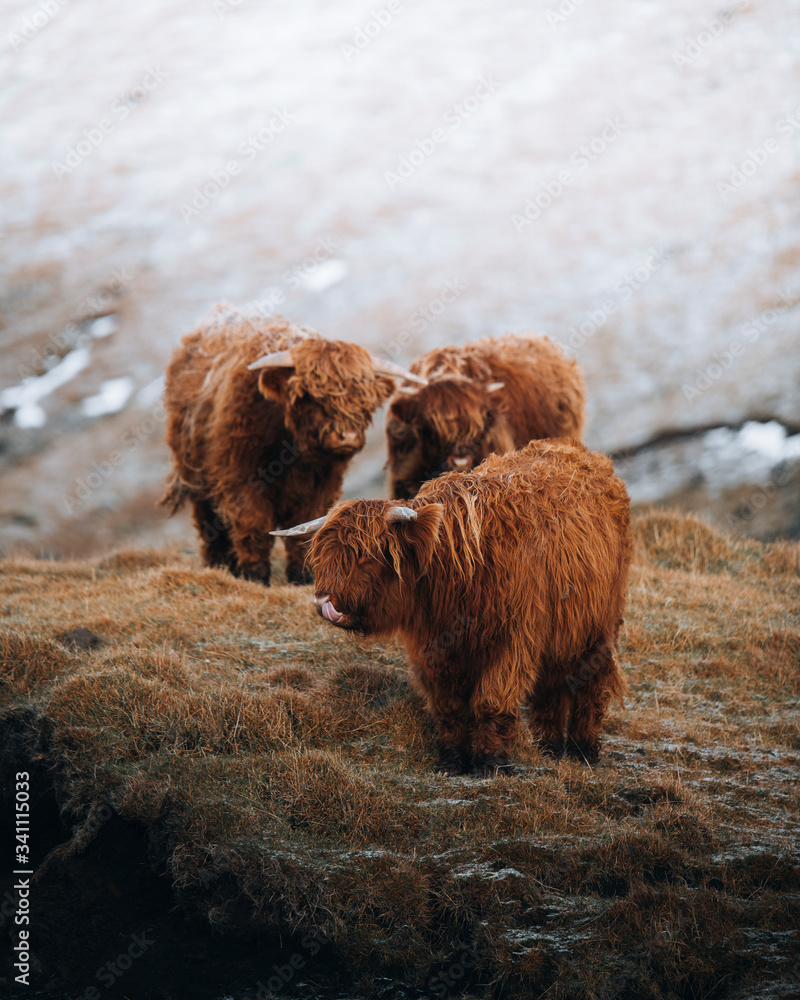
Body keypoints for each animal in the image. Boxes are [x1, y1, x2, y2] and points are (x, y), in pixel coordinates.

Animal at [162, 304, 424, 584]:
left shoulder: (322, 484)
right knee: (209, 523)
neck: (291, 451)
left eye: (364, 397)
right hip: (195, 476)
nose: (348, 436)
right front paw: (255, 575)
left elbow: (307, 524)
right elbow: (254, 524)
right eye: (309, 396)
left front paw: (303, 575)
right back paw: (217, 565)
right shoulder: (238, 477)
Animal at [276, 438, 632, 772]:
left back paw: (583, 752)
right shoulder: (433, 648)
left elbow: (492, 701)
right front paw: (451, 761)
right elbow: (449, 707)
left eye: (366, 555)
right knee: (552, 688)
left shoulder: (512, 641)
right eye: (323, 554)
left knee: (592, 683)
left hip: (599, 626)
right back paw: (550, 749)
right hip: (560, 633)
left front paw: (490, 763)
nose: (324, 601)